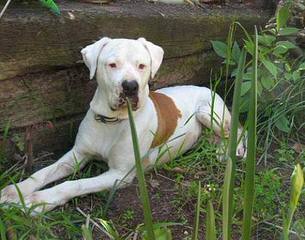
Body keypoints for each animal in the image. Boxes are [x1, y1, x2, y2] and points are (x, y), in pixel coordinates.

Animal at [0, 37, 245, 212]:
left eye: (142, 65)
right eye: (112, 64)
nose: (130, 86)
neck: (112, 121)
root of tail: (205, 87)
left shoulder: (119, 174)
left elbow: (75, 184)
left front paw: (37, 201)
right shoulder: (77, 154)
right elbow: (44, 172)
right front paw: (16, 191)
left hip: (209, 112)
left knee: (239, 129)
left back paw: (232, 150)